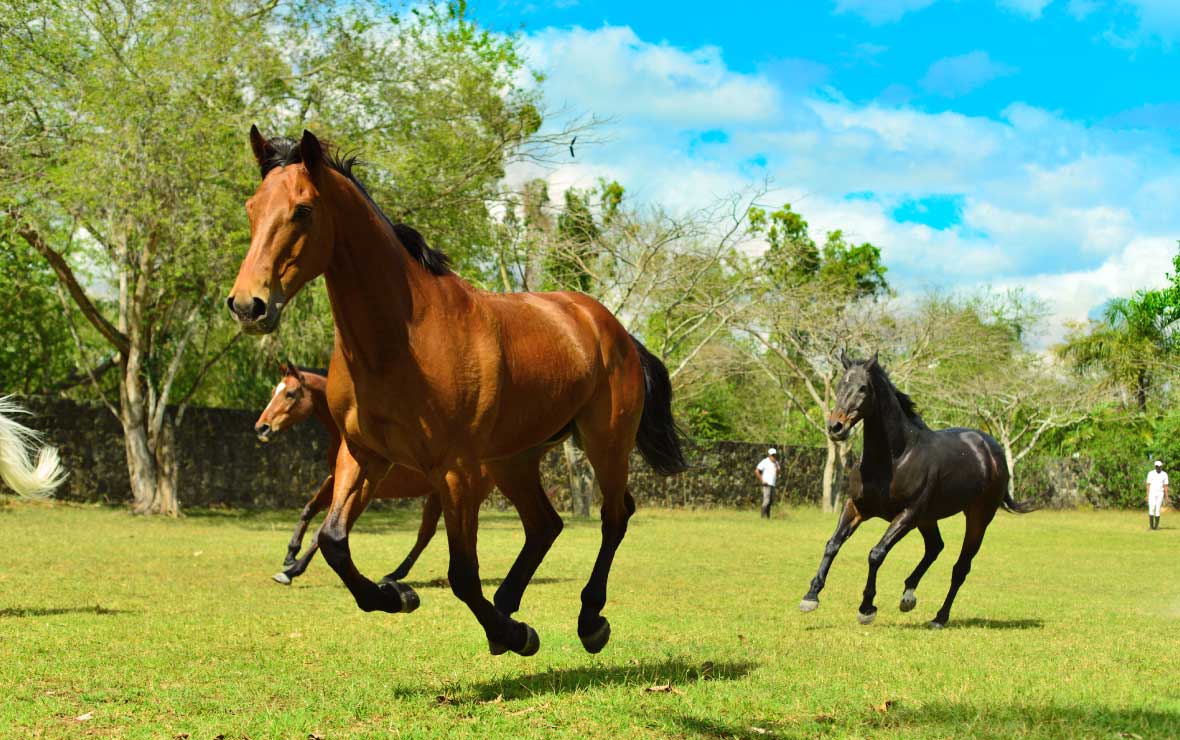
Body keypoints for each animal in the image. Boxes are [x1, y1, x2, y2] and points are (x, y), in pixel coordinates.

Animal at [254, 361, 488, 587]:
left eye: (290, 393)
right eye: (274, 391)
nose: (262, 427)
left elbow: (323, 530)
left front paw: (292, 570)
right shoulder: (336, 480)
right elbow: (309, 509)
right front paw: (291, 554)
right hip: (439, 492)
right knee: (427, 532)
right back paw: (395, 574)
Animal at [797, 354, 1038, 632]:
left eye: (863, 388)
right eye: (839, 385)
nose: (835, 427)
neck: (894, 458)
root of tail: (993, 451)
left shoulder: (906, 516)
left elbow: (876, 554)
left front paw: (867, 608)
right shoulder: (856, 507)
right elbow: (833, 544)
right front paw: (810, 597)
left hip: (977, 518)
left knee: (960, 567)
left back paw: (939, 618)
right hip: (928, 518)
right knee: (935, 547)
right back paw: (908, 596)